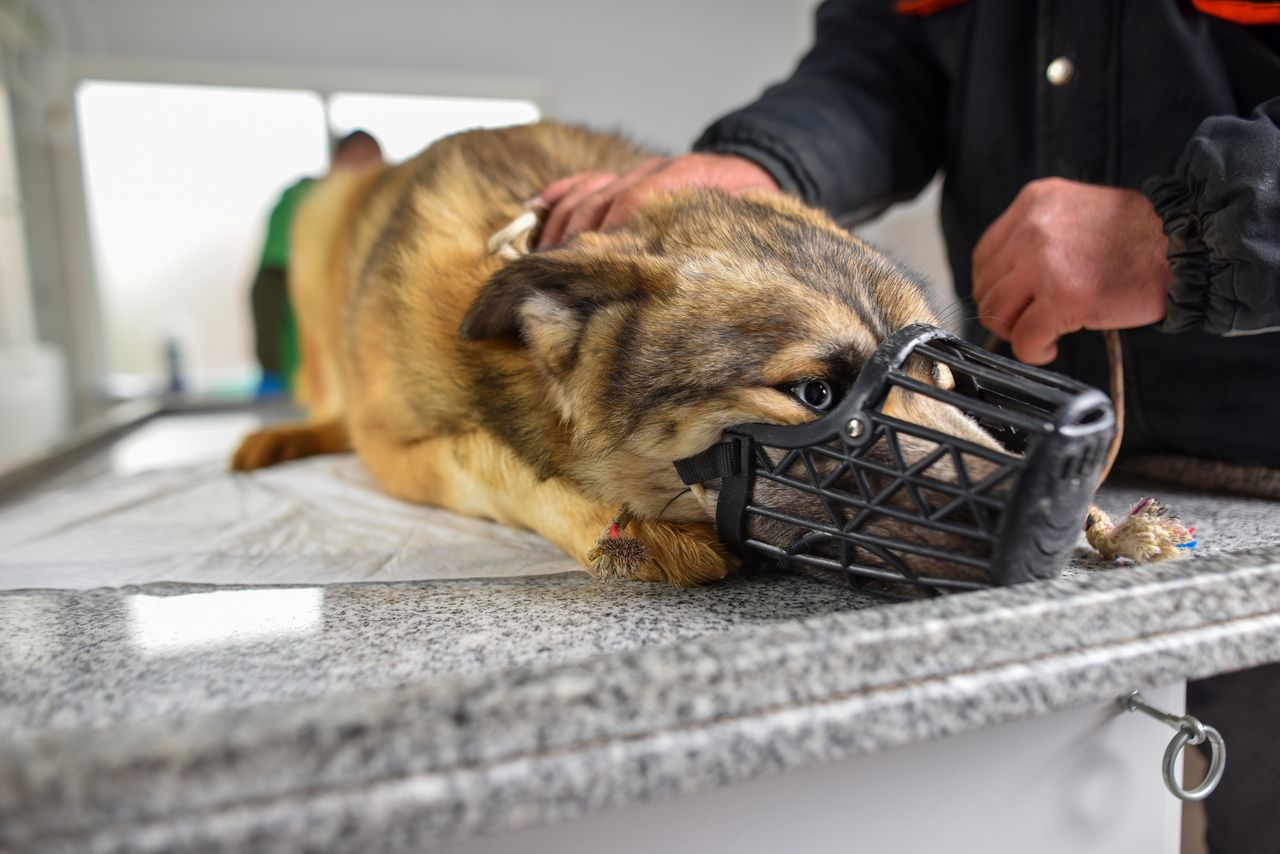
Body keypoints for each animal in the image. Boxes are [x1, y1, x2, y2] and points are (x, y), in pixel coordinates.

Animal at [235, 121, 1003, 588]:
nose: (1035, 511)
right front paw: (641, 532)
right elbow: (493, 460)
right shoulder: (398, 451)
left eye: (940, 377)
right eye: (817, 393)